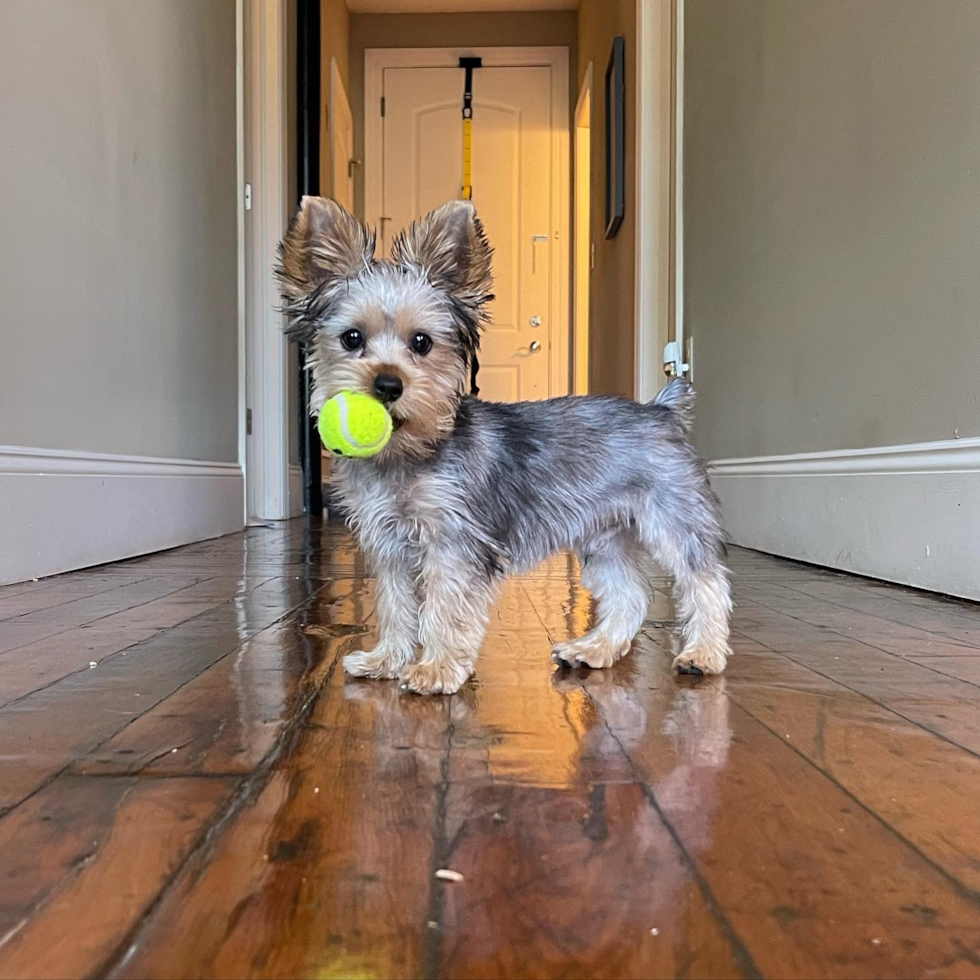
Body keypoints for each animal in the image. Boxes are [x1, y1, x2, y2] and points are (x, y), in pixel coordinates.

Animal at [280, 195, 732, 692]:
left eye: (421, 342)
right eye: (351, 338)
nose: (387, 384)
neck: (410, 453)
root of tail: (662, 411)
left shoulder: (454, 542)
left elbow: (445, 607)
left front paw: (436, 668)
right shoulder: (389, 545)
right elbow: (396, 605)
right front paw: (387, 660)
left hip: (672, 517)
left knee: (704, 580)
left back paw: (703, 654)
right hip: (605, 534)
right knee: (629, 594)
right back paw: (592, 649)